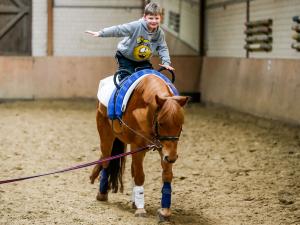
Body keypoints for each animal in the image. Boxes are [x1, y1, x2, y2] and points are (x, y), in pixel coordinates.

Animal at [89, 74, 188, 221]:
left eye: (180, 124)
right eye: (161, 123)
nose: (172, 158)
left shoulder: (165, 149)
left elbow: (167, 175)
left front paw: (164, 211)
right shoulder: (138, 146)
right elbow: (140, 176)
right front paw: (141, 209)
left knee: (130, 169)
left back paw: (133, 201)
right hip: (106, 134)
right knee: (106, 159)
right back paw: (102, 193)